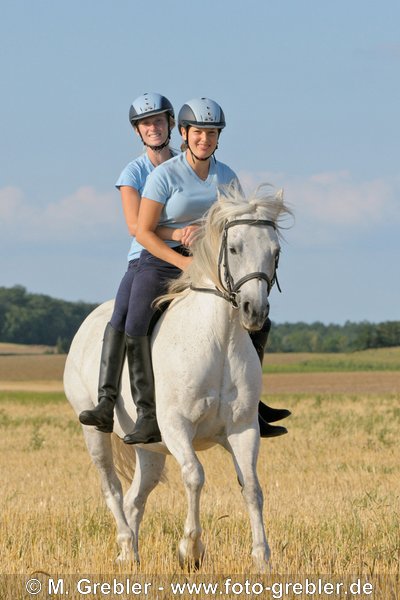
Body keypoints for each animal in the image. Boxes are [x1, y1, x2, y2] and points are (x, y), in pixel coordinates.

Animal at [64, 185, 292, 568]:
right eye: (234, 248)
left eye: (275, 252)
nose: (255, 311)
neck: (219, 338)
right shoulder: (176, 426)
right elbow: (195, 476)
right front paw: (191, 549)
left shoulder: (243, 428)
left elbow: (252, 486)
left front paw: (262, 558)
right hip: (95, 433)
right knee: (112, 488)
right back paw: (125, 541)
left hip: (149, 448)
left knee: (135, 497)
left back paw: (130, 555)